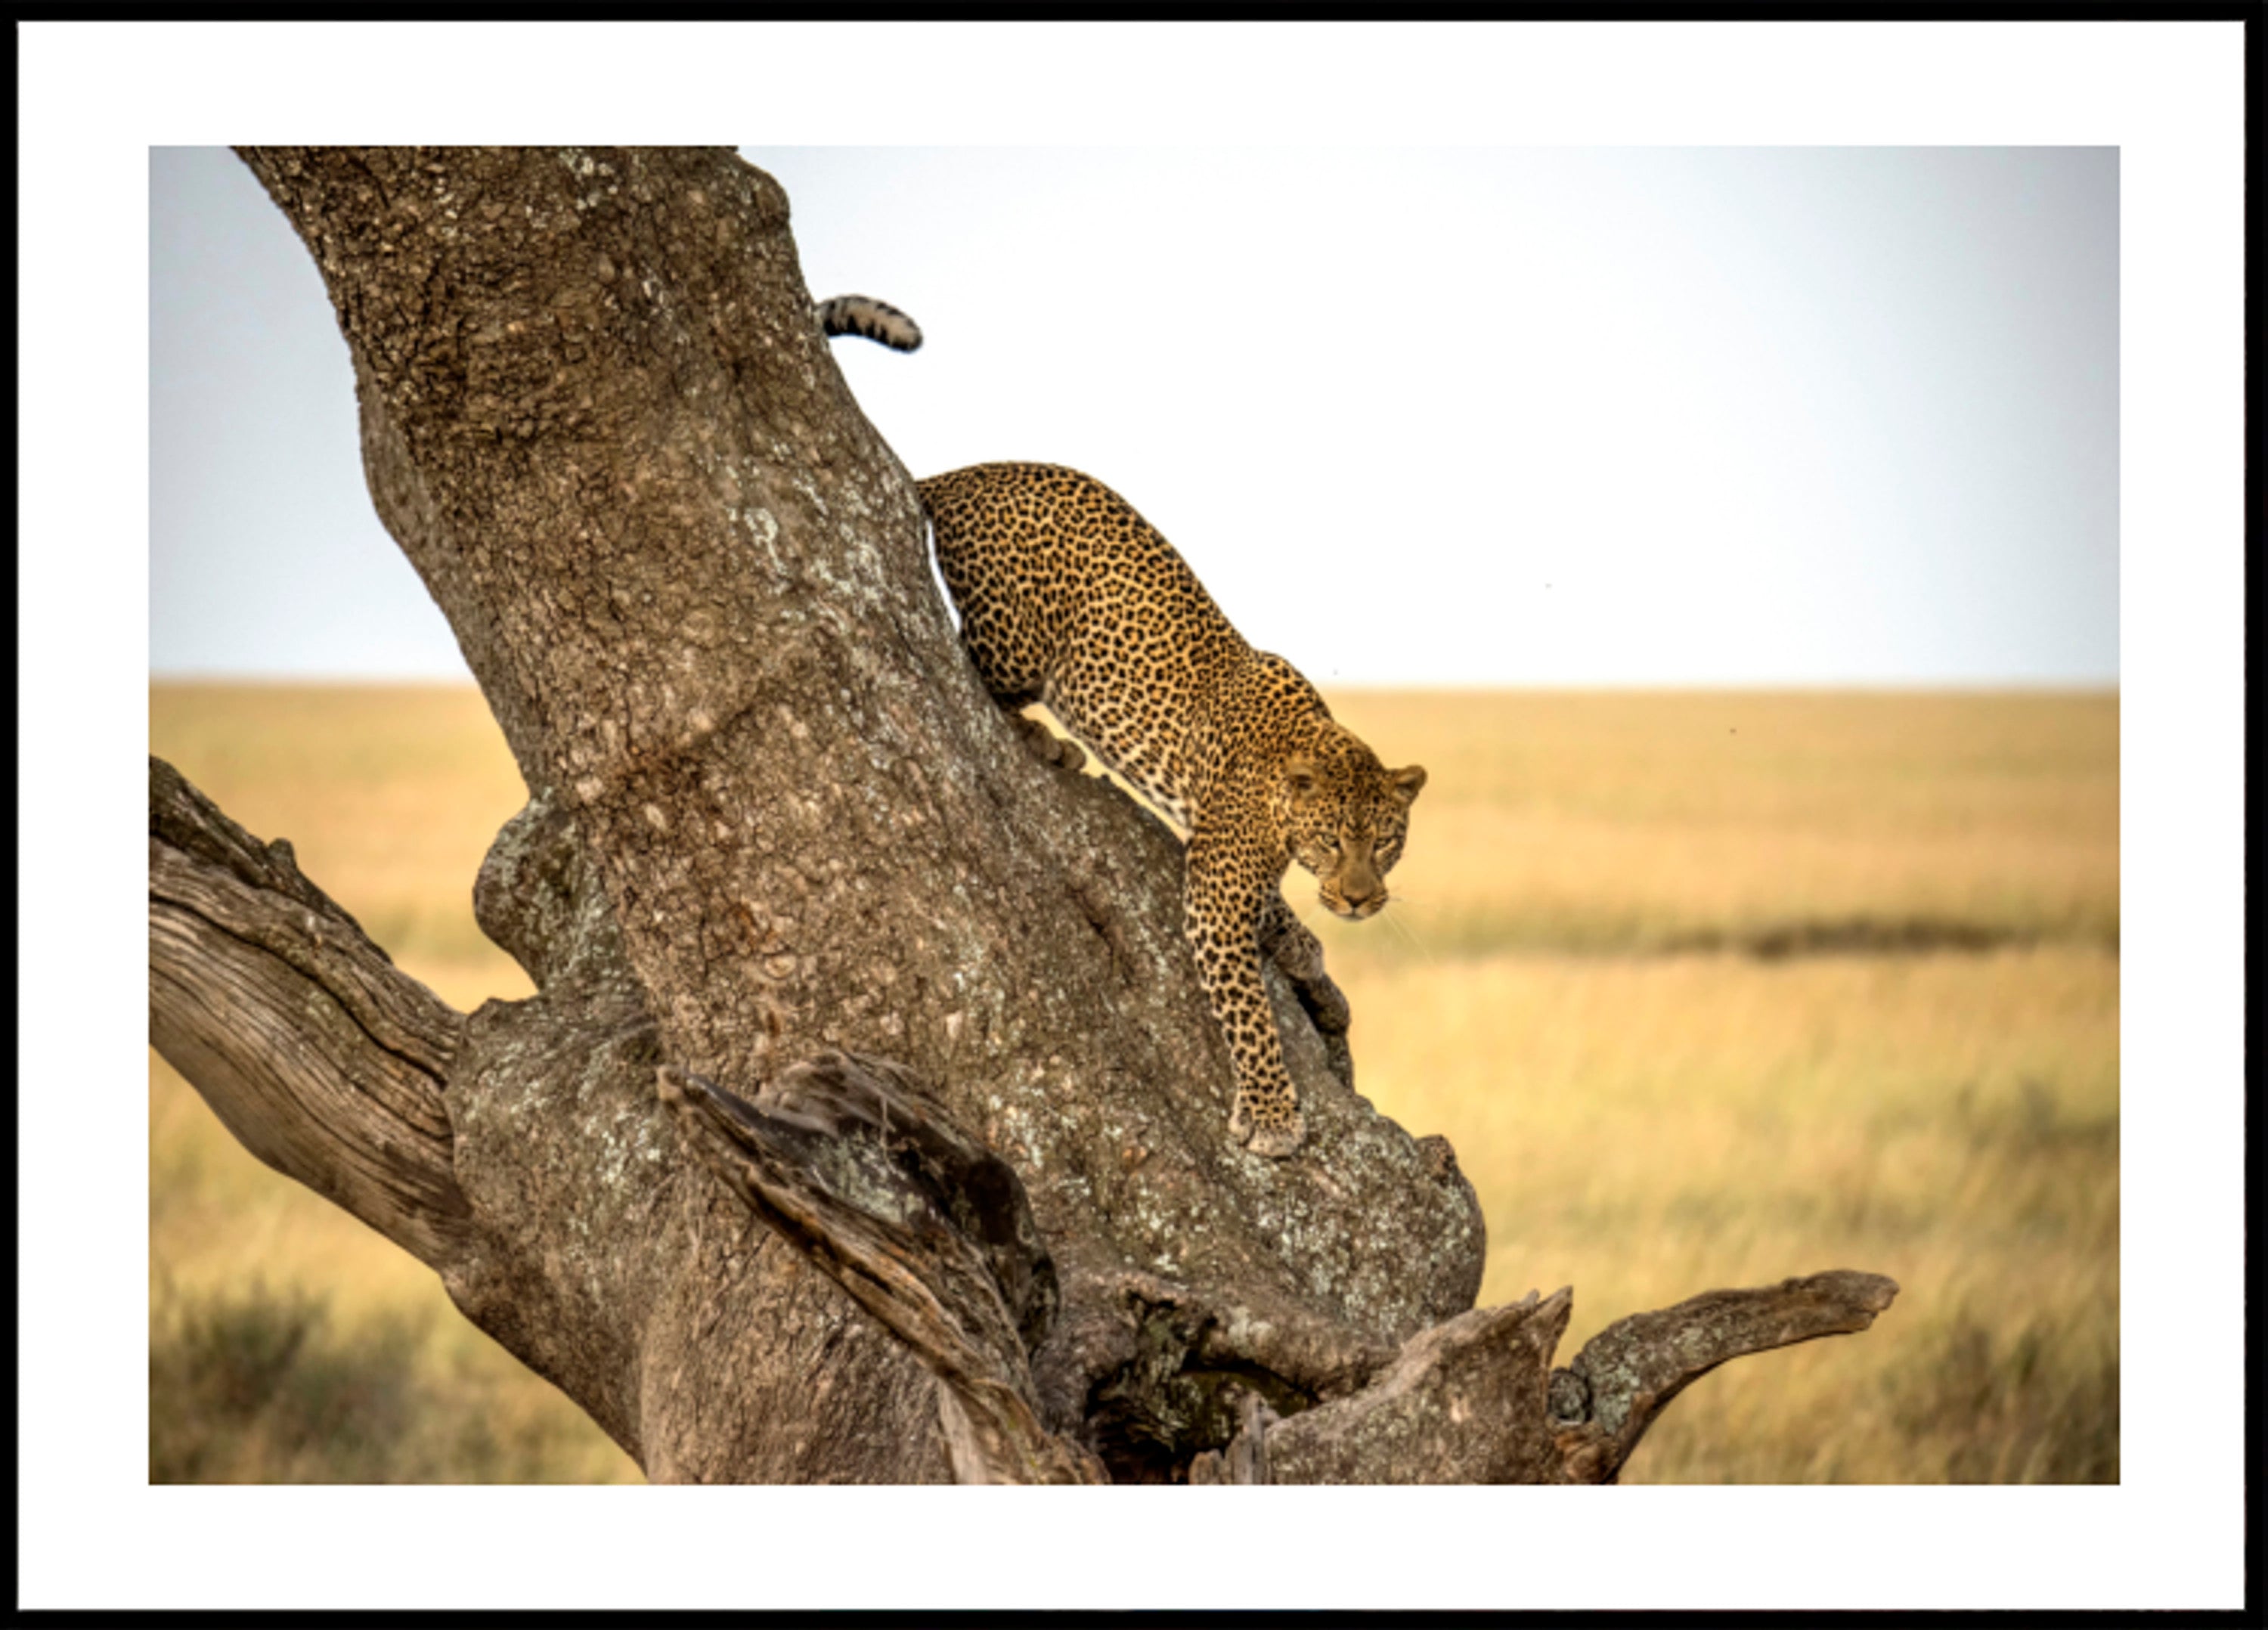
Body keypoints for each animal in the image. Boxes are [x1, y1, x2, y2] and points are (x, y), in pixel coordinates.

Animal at [916, 462, 1427, 1159]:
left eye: (1384, 844)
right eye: (1332, 841)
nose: (1359, 900)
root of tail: (961, 474)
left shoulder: (1218, 851)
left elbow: (1274, 906)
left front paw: (1301, 948)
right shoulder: (1217, 884)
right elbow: (1248, 1012)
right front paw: (1272, 1115)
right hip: (1015, 640)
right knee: (973, 665)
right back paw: (1047, 740)